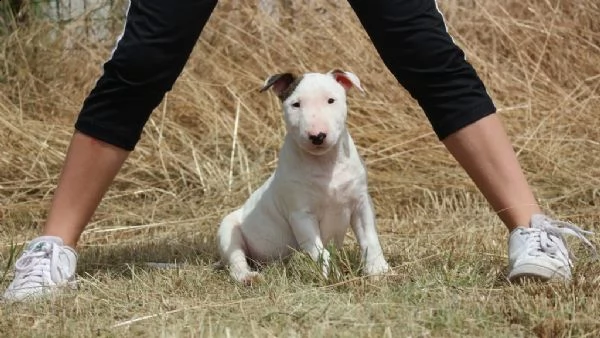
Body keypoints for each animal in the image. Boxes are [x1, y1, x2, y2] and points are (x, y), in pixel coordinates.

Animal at [218, 69, 392, 286]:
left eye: (331, 100)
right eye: (296, 104)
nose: (317, 136)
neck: (324, 163)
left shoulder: (361, 203)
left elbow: (370, 239)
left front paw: (378, 271)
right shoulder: (301, 214)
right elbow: (319, 251)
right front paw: (330, 276)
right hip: (227, 231)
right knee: (236, 260)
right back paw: (248, 276)